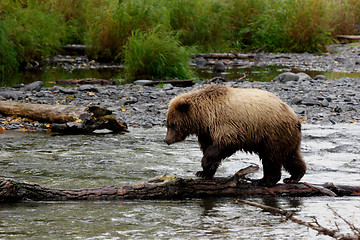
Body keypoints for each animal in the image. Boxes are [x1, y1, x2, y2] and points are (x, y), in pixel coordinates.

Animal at [165, 84, 306, 188]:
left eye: (172, 124)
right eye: (167, 124)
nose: (166, 140)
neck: (204, 118)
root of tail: (295, 117)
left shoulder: (226, 124)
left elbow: (224, 144)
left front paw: (204, 165)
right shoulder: (206, 132)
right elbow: (209, 147)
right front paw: (204, 173)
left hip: (272, 132)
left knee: (271, 157)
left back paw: (264, 180)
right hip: (287, 136)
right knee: (291, 156)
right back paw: (294, 177)